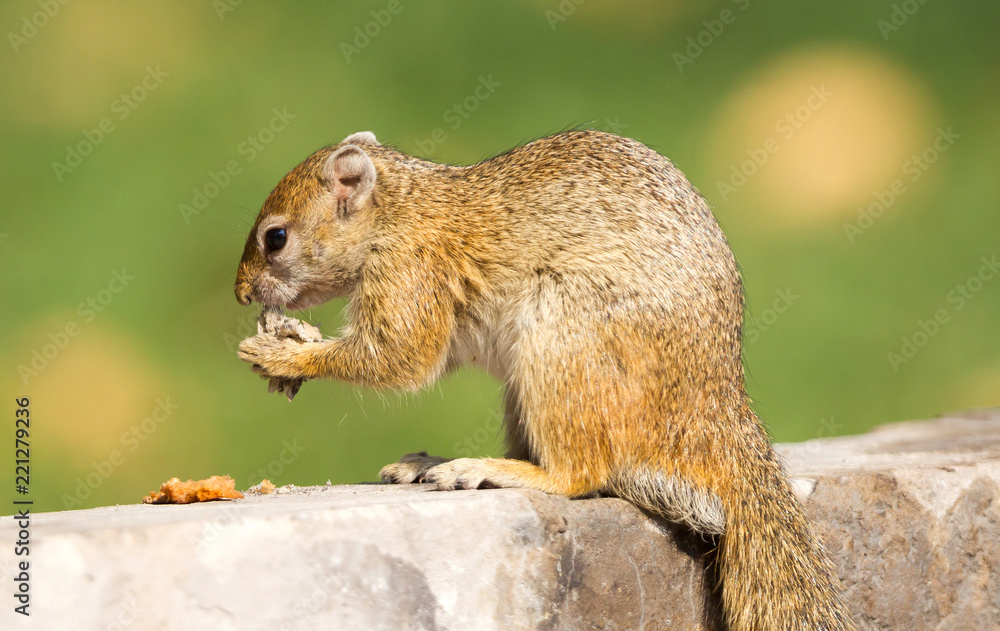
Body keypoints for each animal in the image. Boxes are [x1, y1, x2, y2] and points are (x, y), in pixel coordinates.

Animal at [235, 130, 854, 630]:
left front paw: (282, 355)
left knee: (579, 473)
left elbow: (400, 356)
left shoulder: (410, 269)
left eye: (276, 238)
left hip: (561, 339)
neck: (399, 210)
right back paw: (438, 463)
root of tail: (716, 409)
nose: (241, 294)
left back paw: (488, 471)